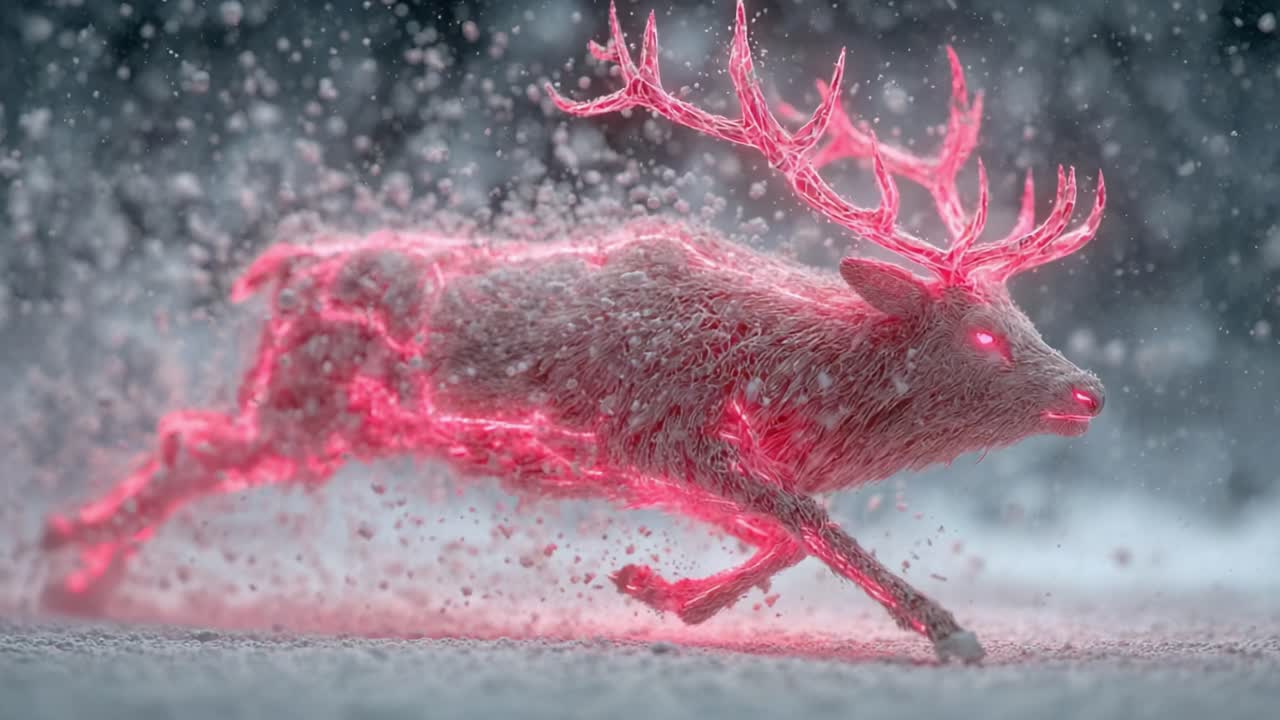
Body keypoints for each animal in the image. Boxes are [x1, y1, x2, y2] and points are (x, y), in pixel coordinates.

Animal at [38, 1, 1106, 662]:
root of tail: (290, 265)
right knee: (189, 445)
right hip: (311, 405)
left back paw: (87, 562)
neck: (790, 385)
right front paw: (949, 631)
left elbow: (788, 533)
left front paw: (657, 588)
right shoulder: (660, 432)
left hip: (317, 411)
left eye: (1023, 319)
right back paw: (69, 562)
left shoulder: (664, 462)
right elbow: (809, 522)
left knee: (189, 441)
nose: (1088, 391)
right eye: (985, 338)